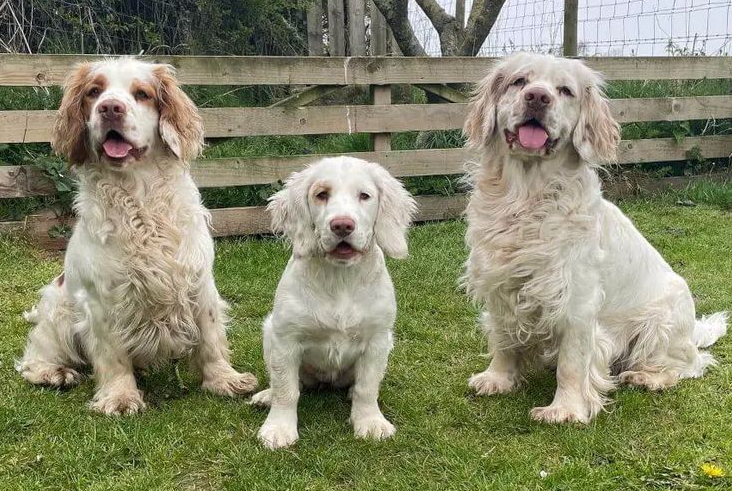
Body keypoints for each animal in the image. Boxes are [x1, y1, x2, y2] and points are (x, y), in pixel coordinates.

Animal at [249, 157, 414, 450]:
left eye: (364, 196)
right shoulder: (285, 340)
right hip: (269, 332)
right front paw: (278, 429)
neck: (340, 278)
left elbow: (367, 387)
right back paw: (266, 395)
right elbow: (286, 389)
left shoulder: (377, 339)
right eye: (321, 195)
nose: (342, 225)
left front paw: (370, 422)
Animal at [464, 52, 728, 422]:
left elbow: (572, 363)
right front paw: (497, 378)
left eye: (565, 90)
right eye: (519, 81)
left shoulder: (576, 299)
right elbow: (504, 338)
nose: (537, 97)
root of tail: (692, 331)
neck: (527, 196)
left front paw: (565, 409)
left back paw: (646, 377)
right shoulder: (498, 284)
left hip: (658, 326)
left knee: (691, 364)